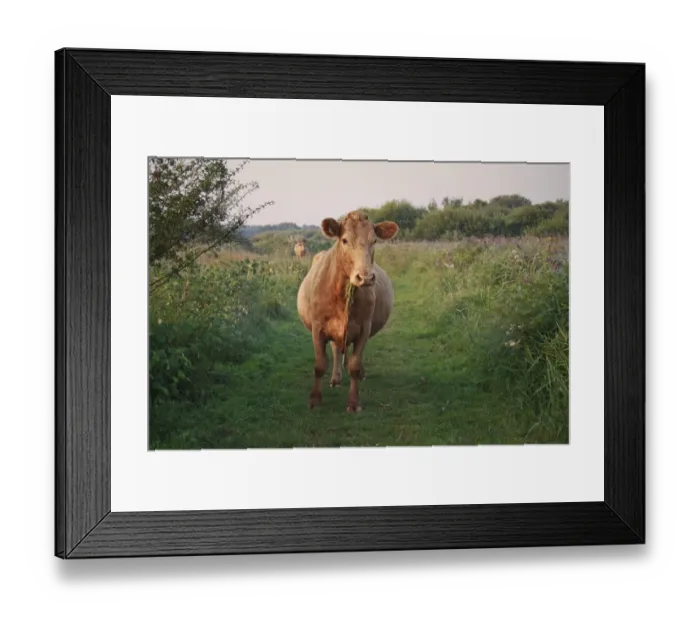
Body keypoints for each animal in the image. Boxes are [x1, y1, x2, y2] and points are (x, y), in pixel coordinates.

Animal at [296, 210, 399, 412]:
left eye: (374, 240)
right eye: (344, 240)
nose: (365, 277)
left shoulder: (364, 328)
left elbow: (354, 364)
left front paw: (353, 402)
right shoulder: (318, 327)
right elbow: (320, 364)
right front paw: (315, 399)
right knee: (336, 349)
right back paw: (335, 378)